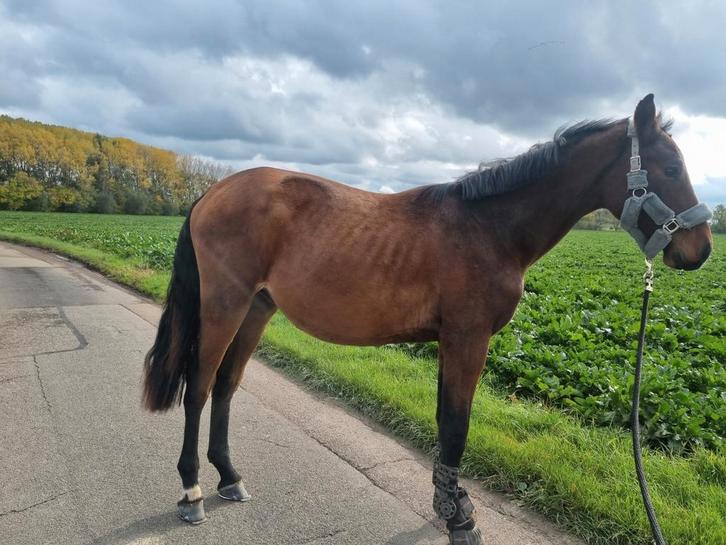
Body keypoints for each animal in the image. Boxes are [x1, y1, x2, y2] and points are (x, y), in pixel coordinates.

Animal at [143, 94, 712, 544]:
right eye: (670, 169)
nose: (701, 250)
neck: (489, 227)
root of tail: (212, 192)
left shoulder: (449, 341)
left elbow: (445, 422)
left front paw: (450, 503)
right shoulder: (468, 338)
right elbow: (456, 425)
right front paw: (458, 519)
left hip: (257, 310)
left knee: (226, 385)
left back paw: (229, 477)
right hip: (224, 305)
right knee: (199, 387)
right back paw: (192, 490)